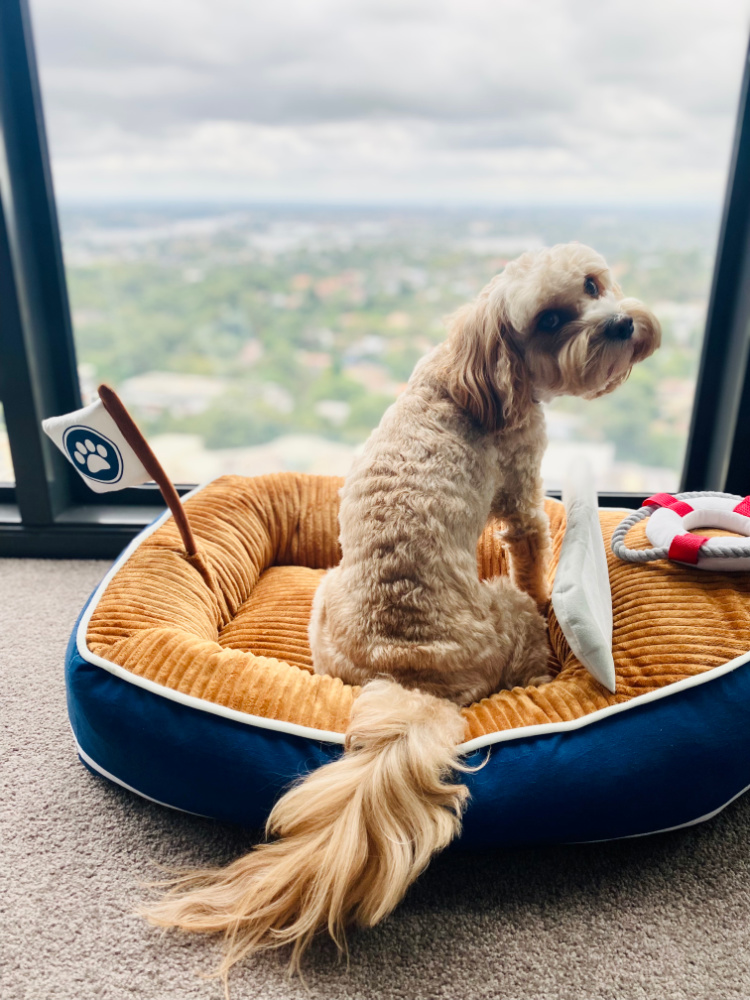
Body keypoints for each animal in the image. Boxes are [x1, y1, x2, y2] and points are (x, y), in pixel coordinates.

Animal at [144, 244, 660, 984]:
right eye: (552, 319)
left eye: (593, 285)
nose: (619, 325)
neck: (471, 375)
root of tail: (410, 678)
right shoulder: (522, 494)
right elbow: (533, 553)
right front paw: (545, 589)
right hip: (499, 614)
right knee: (524, 623)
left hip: (325, 601)